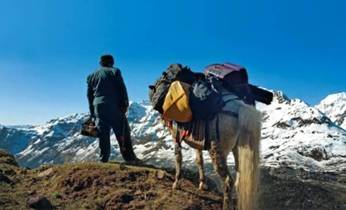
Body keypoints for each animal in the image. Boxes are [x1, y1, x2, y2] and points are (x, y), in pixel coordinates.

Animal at [147, 62, 272, 210]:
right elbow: (199, 160)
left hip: (217, 151)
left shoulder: (175, 135)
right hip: (239, 149)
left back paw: (225, 205)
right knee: (239, 178)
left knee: (228, 181)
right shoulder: (197, 140)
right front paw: (202, 184)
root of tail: (241, 108)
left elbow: (178, 158)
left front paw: (176, 184)